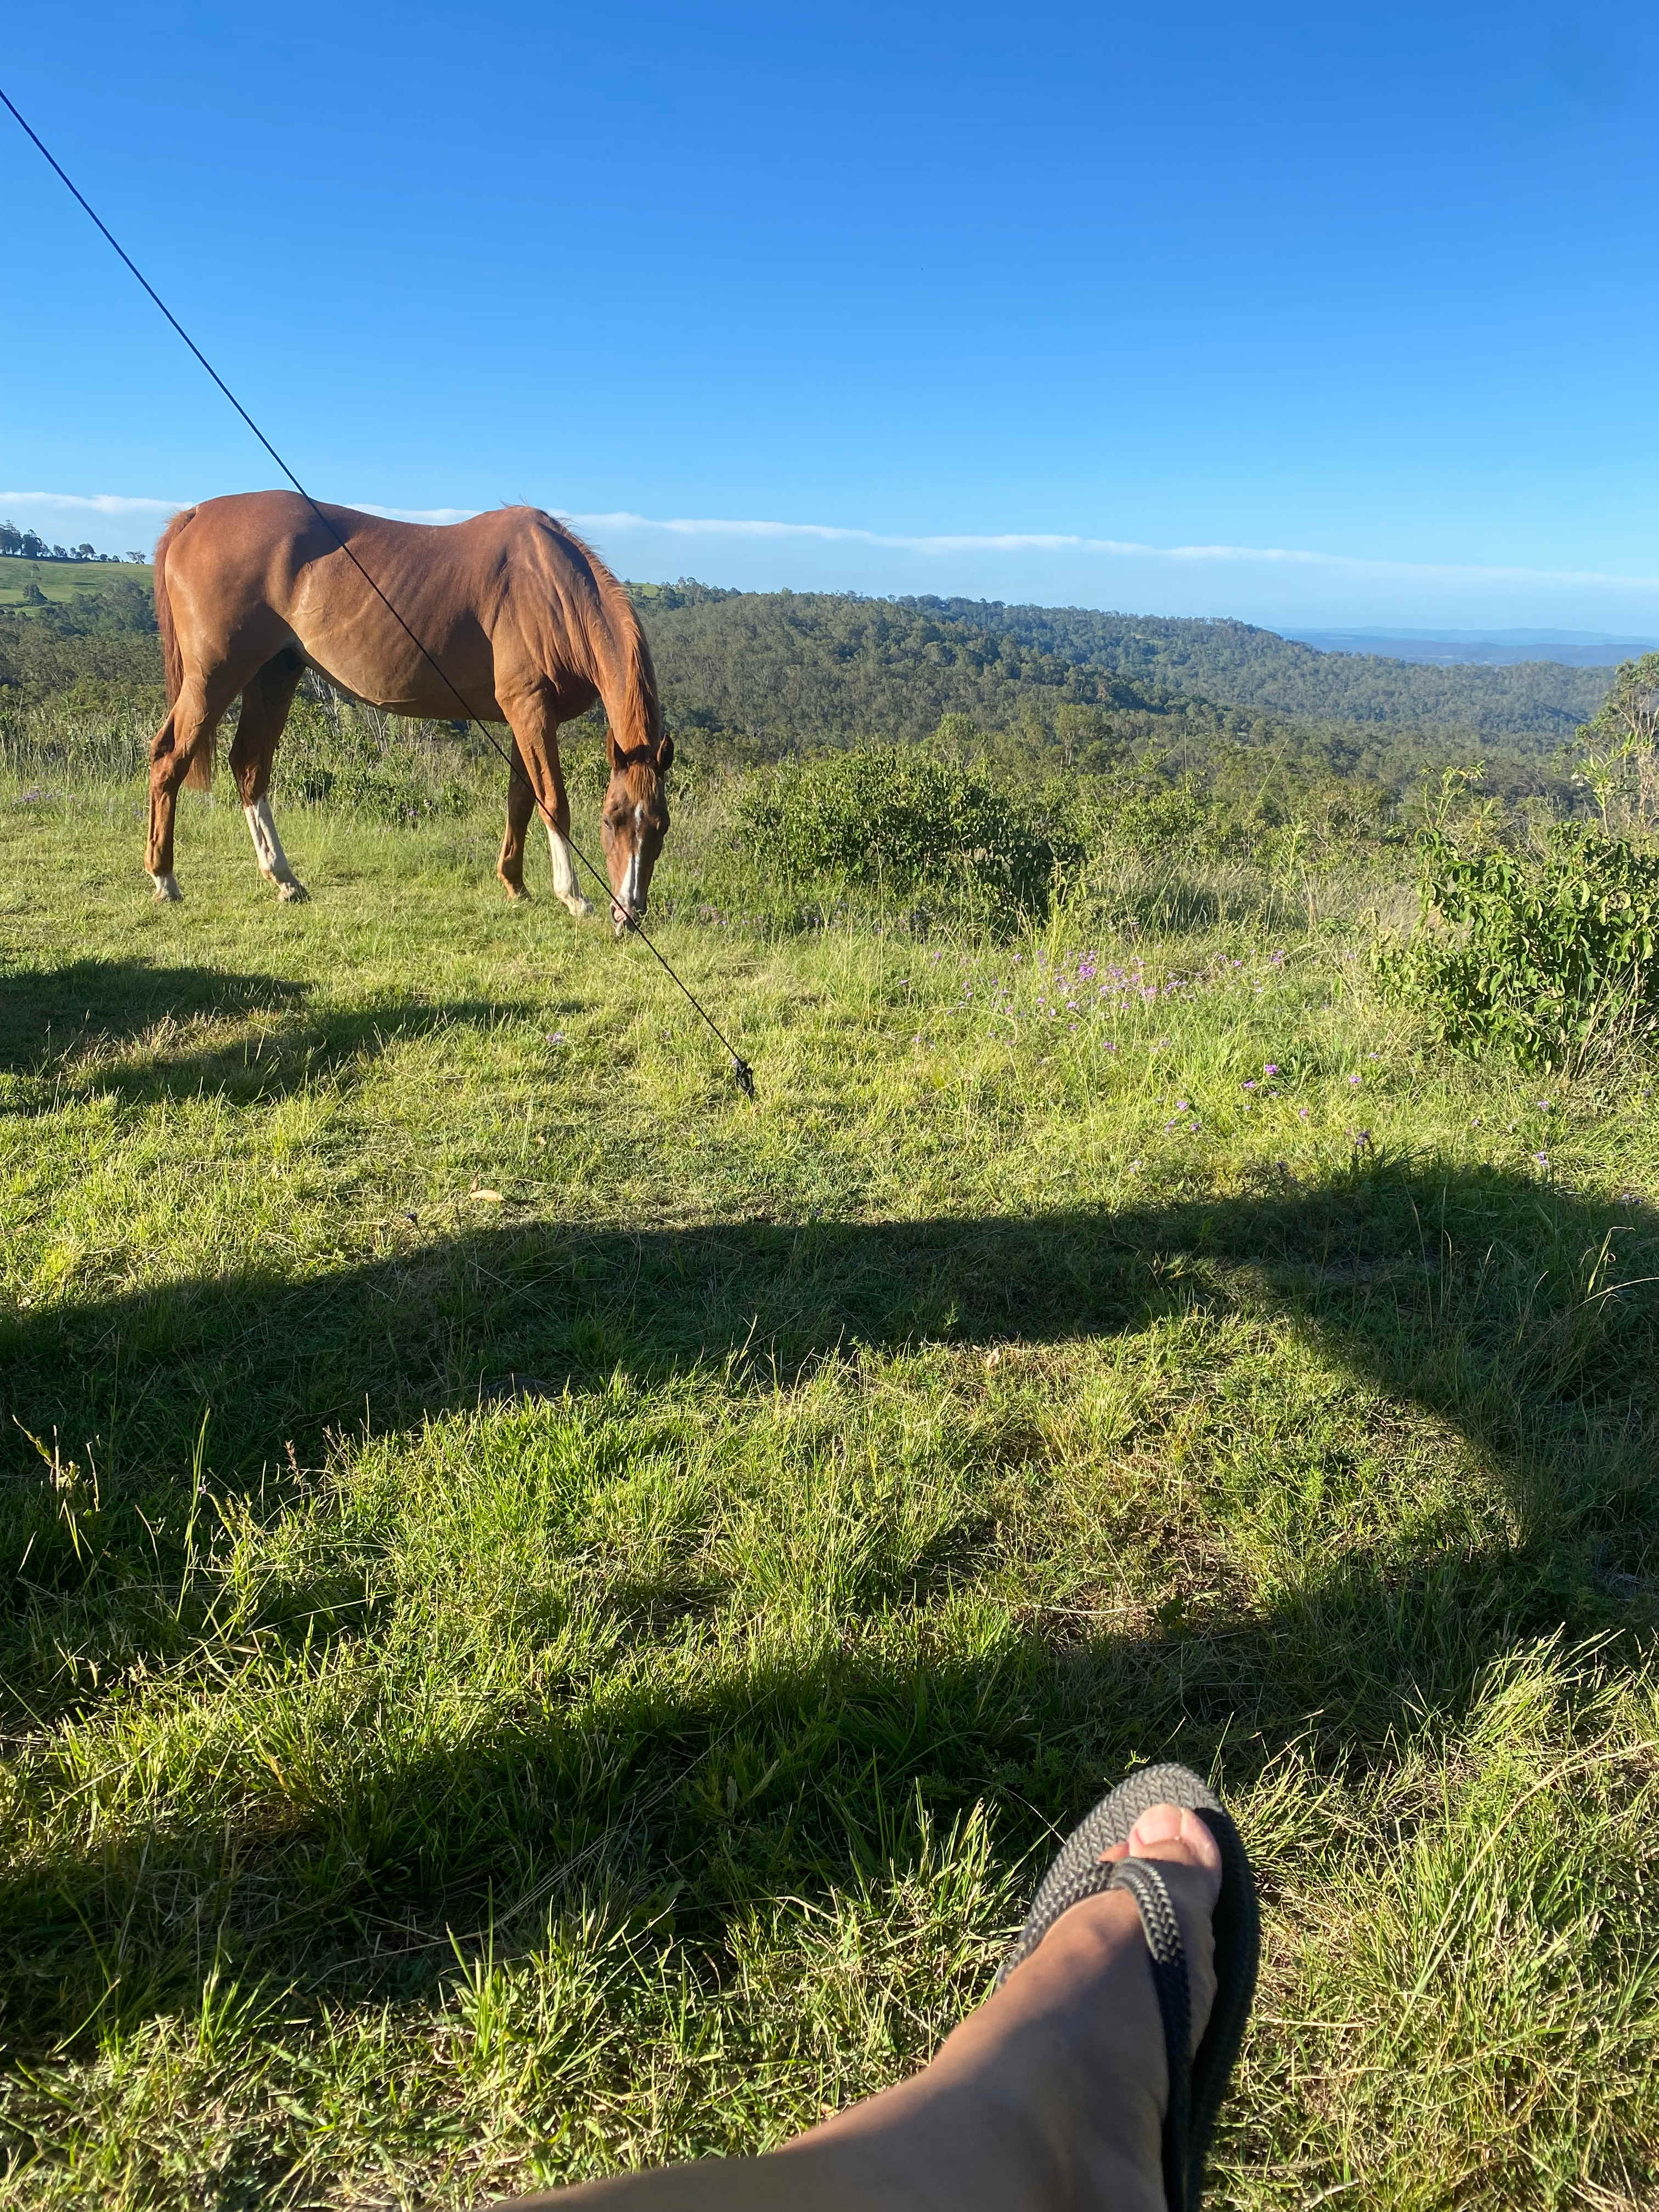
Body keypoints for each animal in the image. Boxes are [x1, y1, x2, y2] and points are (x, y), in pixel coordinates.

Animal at [146, 492, 673, 933]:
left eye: (660, 826)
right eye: (611, 820)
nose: (629, 915)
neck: (550, 587)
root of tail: (195, 515)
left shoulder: (523, 718)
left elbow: (520, 801)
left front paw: (514, 884)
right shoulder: (530, 709)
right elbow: (552, 802)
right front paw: (573, 897)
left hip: (274, 675)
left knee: (250, 767)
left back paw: (284, 880)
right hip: (214, 678)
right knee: (170, 758)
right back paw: (165, 879)